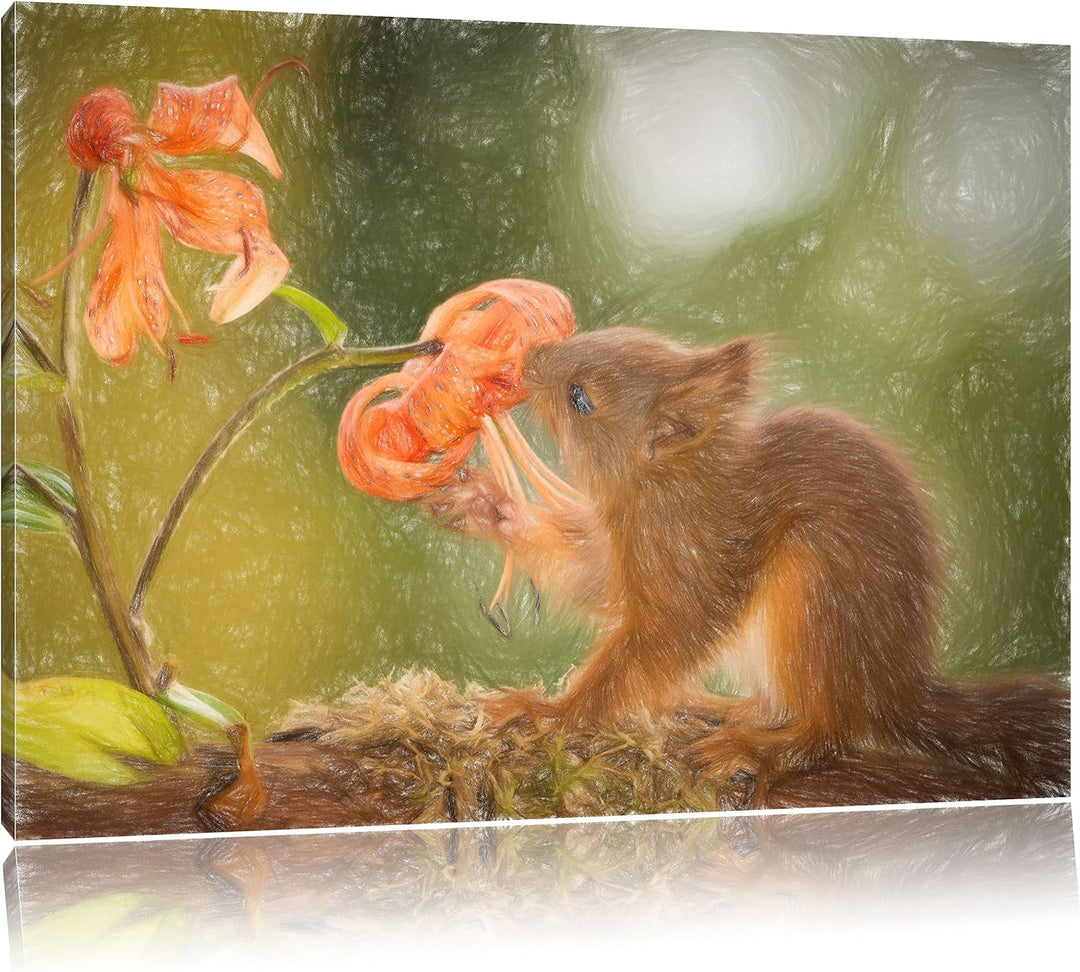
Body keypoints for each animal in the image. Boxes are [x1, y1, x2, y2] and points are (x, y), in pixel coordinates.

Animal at [425, 326, 1070, 797]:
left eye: (580, 398)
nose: (528, 357)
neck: (669, 486)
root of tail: (894, 689)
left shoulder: (697, 557)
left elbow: (663, 635)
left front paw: (547, 713)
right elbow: (595, 581)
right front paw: (490, 507)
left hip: (816, 594)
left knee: (830, 733)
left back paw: (759, 749)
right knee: (776, 705)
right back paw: (714, 708)